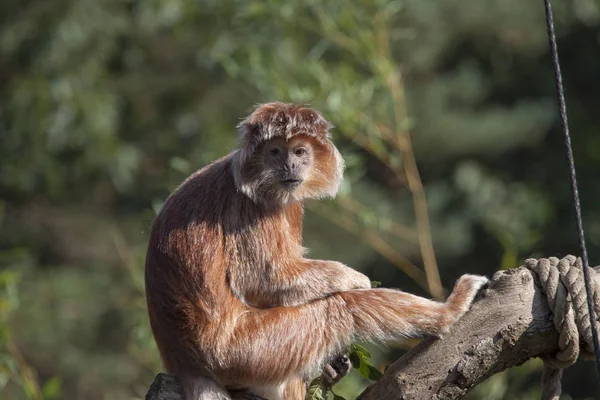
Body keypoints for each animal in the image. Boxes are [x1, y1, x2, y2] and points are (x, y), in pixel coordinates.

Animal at [144, 102, 488, 400]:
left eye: (299, 151)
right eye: (274, 152)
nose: (290, 165)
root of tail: (186, 364)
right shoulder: (251, 207)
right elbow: (263, 281)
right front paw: (356, 279)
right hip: (245, 351)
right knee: (341, 307)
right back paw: (448, 313)